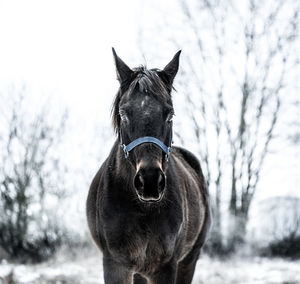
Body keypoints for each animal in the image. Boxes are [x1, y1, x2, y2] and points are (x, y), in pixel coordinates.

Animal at [85, 49, 210, 284]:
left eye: (170, 114)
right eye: (123, 114)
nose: (150, 182)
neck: (140, 210)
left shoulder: (166, 267)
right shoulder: (115, 265)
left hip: (189, 260)